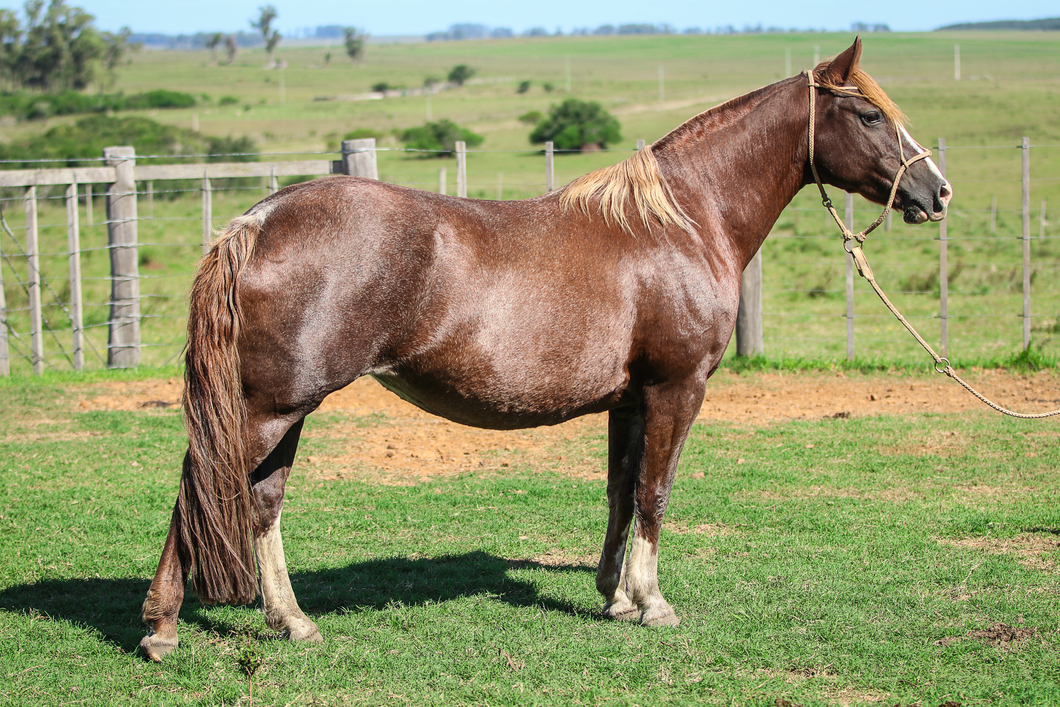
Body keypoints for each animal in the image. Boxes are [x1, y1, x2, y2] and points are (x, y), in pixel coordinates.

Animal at [138, 38, 953, 661]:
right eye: (869, 113)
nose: (938, 192)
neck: (683, 221)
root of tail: (257, 221)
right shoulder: (677, 388)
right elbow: (656, 491)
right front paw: (653, 602)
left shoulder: (630, 400)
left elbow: (621, 490)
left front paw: (614, 596)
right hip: (267, 409)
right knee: (201, 490)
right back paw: (163, 628)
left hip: (285, 409)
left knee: (261, 501)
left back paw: (292, 621)